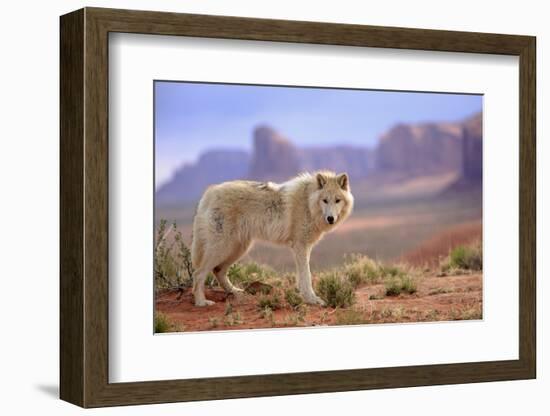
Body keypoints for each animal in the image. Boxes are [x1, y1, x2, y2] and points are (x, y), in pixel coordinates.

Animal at [191, 170, 354, 306]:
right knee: (198, 273)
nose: (330, 218)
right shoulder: (300, 246)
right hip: (223, 248)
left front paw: (305, 296)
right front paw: (312, 299)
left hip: (238, 249)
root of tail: (209, 192)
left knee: (218, 271)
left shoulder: (304, 248)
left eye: (337, 200)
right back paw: (201, 302)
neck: (308, 202)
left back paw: (236, 292)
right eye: (325, 200)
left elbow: (303, 276)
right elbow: (307, 276)